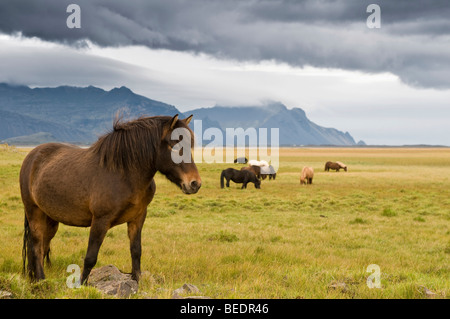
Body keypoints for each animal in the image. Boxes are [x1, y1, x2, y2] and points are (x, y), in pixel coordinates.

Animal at [20, 114, 200, 284]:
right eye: (175, 146)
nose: (195, 183)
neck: (124, 174)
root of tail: (32, 155)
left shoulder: (138, 217)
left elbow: (136, 251)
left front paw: (137, 282)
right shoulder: (100, 220)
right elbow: (90, 257)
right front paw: (82, 286)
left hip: (50, 219)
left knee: (42, 245)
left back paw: (34, 279)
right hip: (34, 211)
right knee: (36, 246)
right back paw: (41, 280)